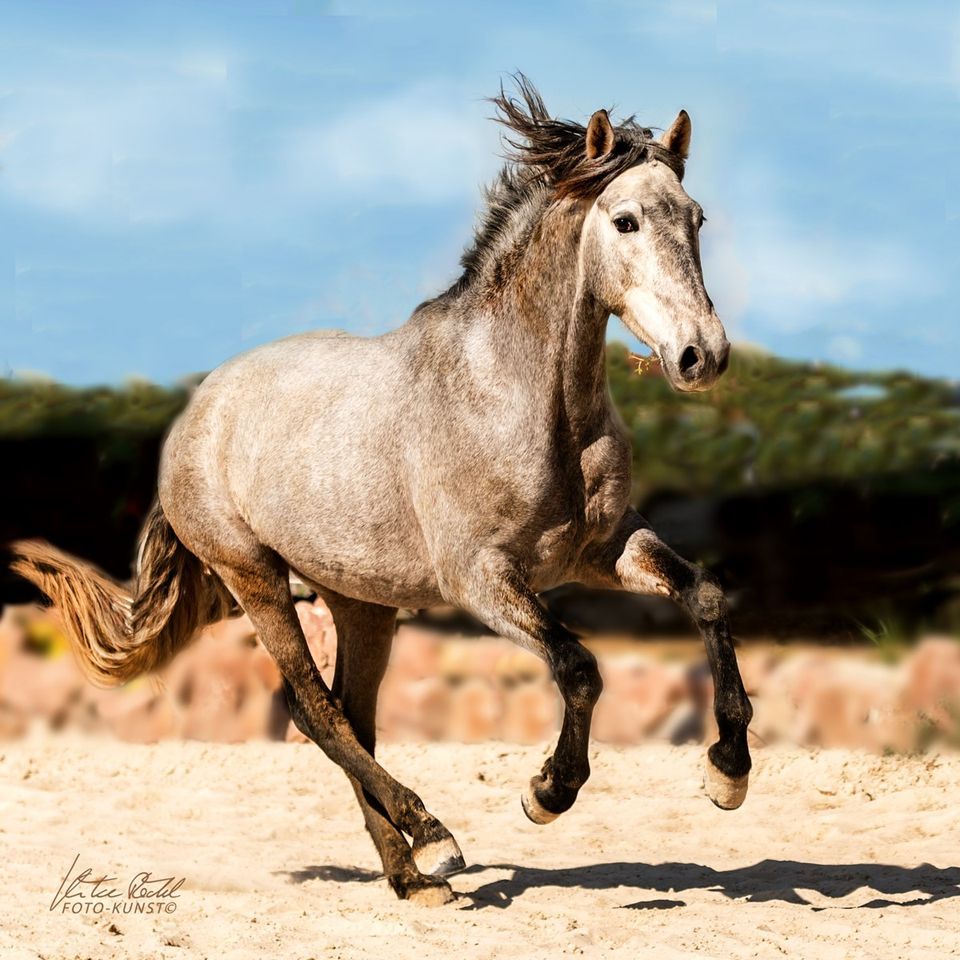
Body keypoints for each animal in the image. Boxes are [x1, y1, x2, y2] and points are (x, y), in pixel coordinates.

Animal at [11, 77, 752, 908]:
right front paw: (547, 793)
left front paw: (727, 774)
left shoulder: (603, 548)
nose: (701, 356)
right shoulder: (482, 579)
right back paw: (435, 843)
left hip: (362, 604)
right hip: (255, 578)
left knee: (347, 717)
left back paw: (411, 878)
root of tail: (199, 411)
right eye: (624, 221)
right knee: (316, 712)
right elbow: (578, 666)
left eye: (695, 218)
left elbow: (707, 598)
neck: (523, 397)